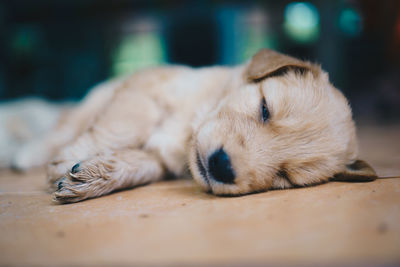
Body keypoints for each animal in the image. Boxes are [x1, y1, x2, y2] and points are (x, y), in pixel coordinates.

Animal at [33, 49, 376, 203]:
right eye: (265, 108)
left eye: (286, 177)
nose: (221, 166)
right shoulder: (147, 88)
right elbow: (123, 125)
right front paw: (71, 158)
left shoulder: (162, 160)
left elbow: (140, 164)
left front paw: (92, 177)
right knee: (61, 126)